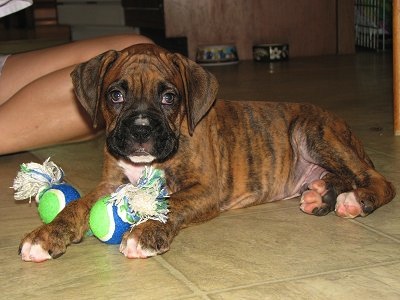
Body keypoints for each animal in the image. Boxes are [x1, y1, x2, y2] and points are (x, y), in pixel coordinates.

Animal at [18, 43, 394, 262]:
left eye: (169, 97)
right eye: (115, 95)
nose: (141, 130)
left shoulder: (204, 189)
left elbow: (170, 203)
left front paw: (145, 232)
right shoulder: (110, 184)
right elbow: (75, 206)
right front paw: (47, 234)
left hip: (311, 131)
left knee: (378, 180)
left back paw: (355, 200)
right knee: (344, 175)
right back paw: (320, 194)